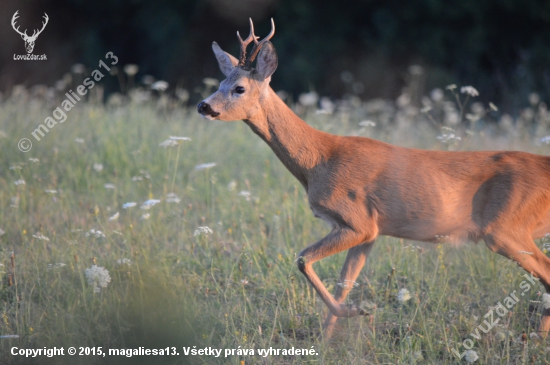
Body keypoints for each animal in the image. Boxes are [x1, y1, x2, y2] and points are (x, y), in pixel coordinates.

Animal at [197, 19, 550, 338]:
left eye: (239, 88)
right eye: (219, 83)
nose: (204, 106)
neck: (318, 161)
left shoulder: (358, 221)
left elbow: (303, 260)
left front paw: (358, 312)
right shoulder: (369, 231)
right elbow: (343, 283)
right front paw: (325, 341)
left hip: (506, 228)